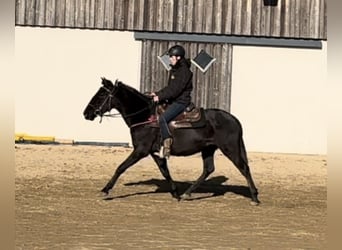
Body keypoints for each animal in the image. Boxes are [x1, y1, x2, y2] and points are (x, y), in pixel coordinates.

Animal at [83, 78, 260, 205]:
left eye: (101, 95)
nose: (86, 113)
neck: (145, 116)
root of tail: (234, 119)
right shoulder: (154, 152)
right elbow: (165, 171)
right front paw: (175, 193)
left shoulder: (140, 150)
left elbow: (121, 167)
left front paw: (105, 189)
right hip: (208, 149)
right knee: (208, 169)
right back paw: (187, 193)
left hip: (230, 148)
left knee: (244, 168)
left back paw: (254, 197)